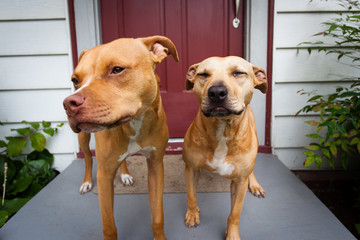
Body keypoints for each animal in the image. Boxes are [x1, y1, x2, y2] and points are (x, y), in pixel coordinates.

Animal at [63, 35, 180, 240]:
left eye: (117, 69)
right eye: (75, 80)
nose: (69, 103)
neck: (134, 123)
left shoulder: (156, 165)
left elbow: (157, 216)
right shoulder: (104, 174)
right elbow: (109, 226)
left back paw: (124, 174)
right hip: (83, 138)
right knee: (87, 158)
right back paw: (86, 182)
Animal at [183, 56, 268, 240]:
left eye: (238, 73)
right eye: (203, 74)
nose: (216, 92)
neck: (222, 127)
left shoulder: (240, 182)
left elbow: (234, 213)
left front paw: (232, 234)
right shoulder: (191, 168)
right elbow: (191, 195)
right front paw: (192, 214)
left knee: (252, 170)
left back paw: (255, 185)